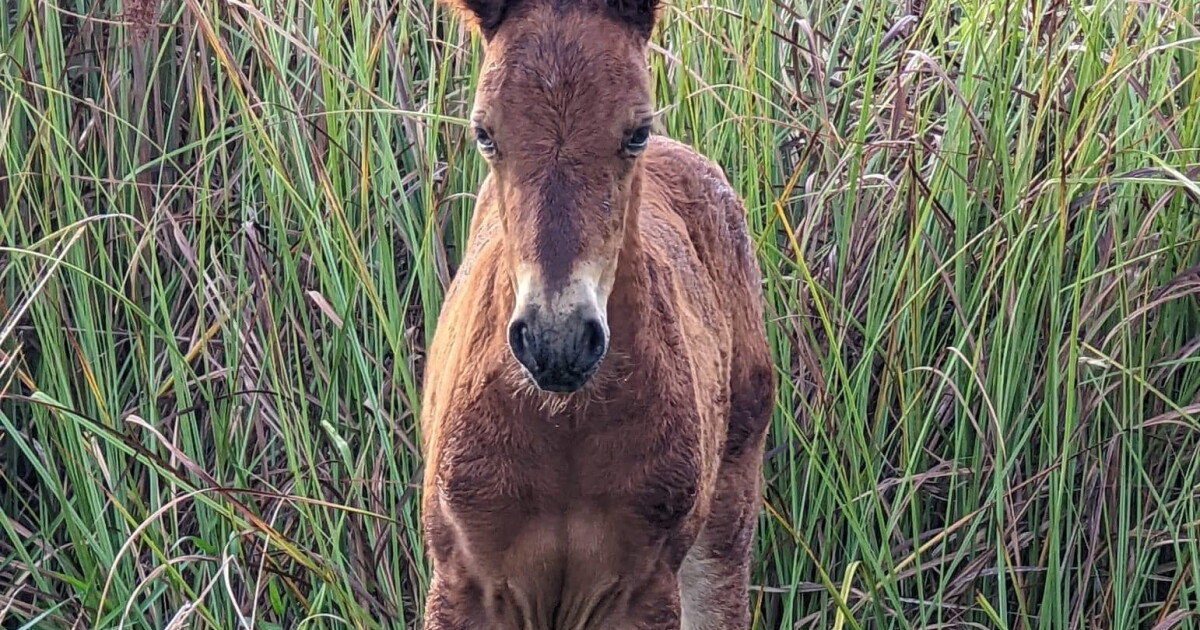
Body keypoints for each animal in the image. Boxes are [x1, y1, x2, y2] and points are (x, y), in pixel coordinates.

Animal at [418, 0, 775, 627]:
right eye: (485, 133)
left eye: (635, 133)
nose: (556, 342)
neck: (566, 427)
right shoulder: (463, 586)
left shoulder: (641, 593)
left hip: (727, 516)